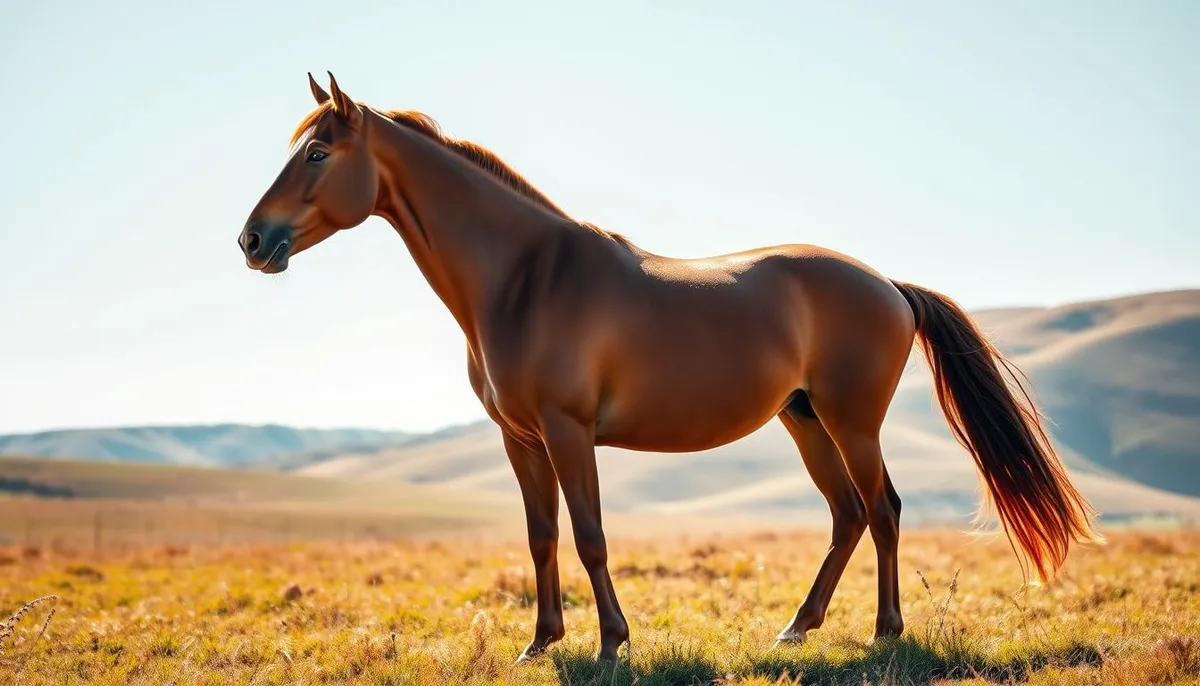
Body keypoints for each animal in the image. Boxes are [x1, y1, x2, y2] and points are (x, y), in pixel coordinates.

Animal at [238, 72, 1104, 663]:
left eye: (317, 151)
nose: (251, 240)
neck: (524, 276)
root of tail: (889, 285)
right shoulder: (521, 440)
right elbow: (541, 538)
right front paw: (540, 642)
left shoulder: (567, 432)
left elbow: (589, 537)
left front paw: (609, 642)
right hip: (805, 421)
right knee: (849, 515)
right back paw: (797, 629)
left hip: (851, 423)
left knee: (883, 510)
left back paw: (886, 634)